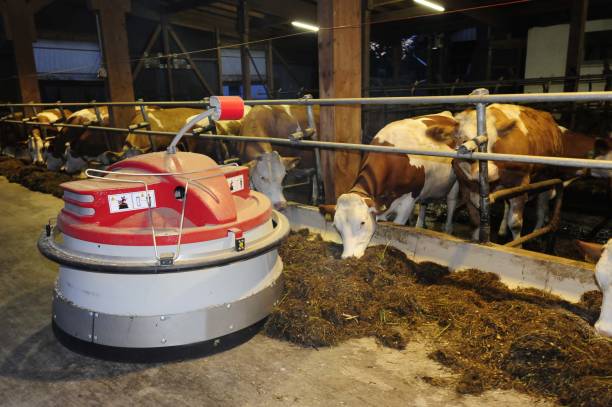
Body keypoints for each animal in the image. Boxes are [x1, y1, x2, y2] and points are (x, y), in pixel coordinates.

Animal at [320, 111, 460, 258]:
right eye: (336, 227)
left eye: (362, 222)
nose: (348, 257)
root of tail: (446, 114)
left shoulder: (409, 200)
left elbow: (398, 226)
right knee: (424, 204)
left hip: (454, 183)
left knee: (451, 203)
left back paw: (448, 229)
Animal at [450, 103, 564, 241]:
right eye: (463, 140)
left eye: (494, 141)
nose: (491, 172)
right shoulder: (465, 188)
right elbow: (475, 222)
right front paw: (476, 240)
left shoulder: (520, 185)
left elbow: (515, 224)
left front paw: (518, 244)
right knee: (507, 205)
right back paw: (503, 230)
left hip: (547, 179)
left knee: (542, 207)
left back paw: (537, 232)